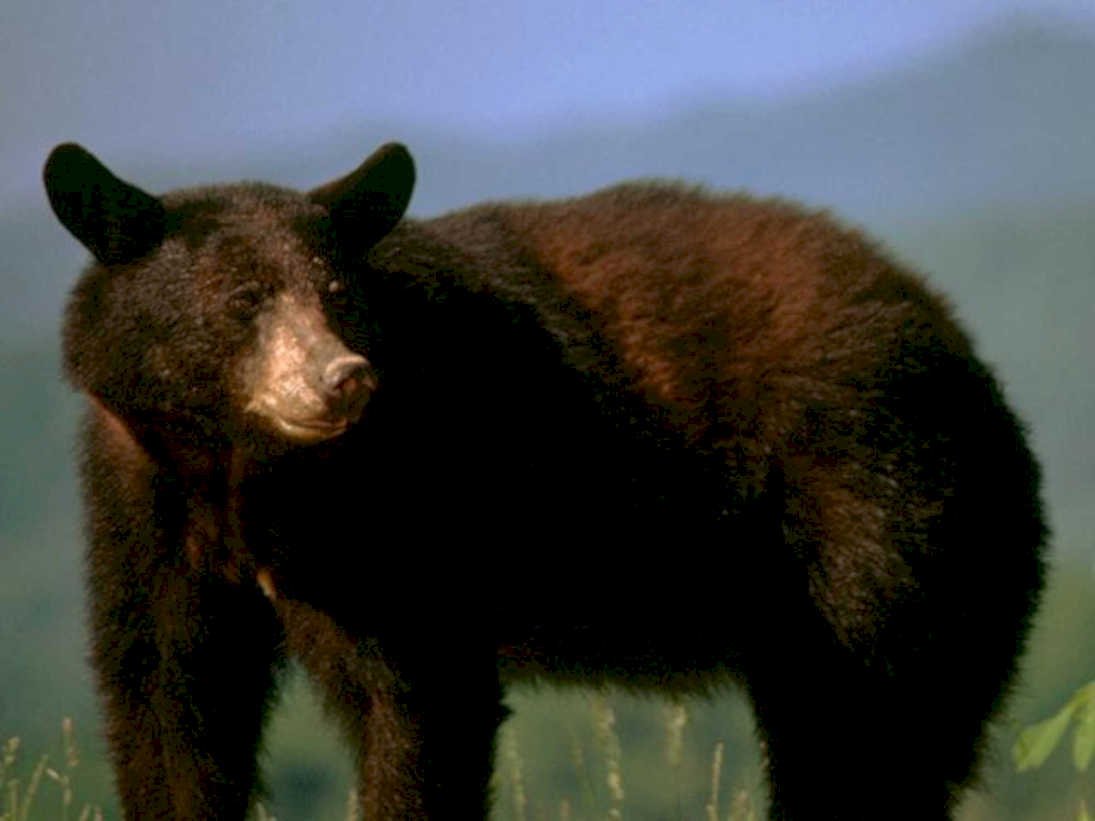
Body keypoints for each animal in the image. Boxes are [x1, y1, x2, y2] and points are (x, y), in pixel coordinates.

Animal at [44, 140, 1046, 820]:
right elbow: (168, 701)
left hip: (873, 514)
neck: (241, 474)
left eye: (334, 292)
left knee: (861, 724)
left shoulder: (397, 498)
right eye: (243, 298)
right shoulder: (140, 504)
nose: (343, 378)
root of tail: (964, 351)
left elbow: (418, 697)